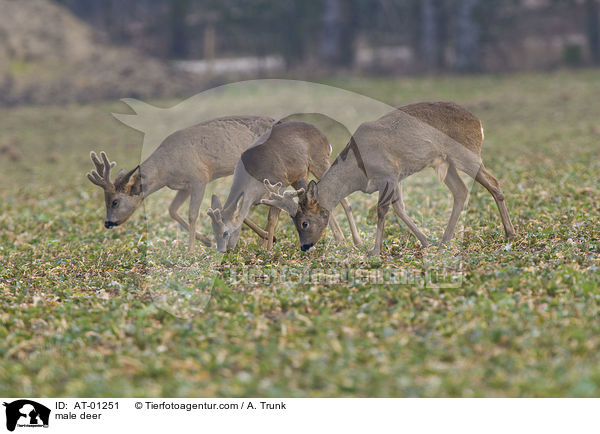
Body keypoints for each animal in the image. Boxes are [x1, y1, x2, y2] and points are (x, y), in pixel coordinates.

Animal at [86, 115, 274, 251]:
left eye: (114, 202)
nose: (108, 223)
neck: (166, 169)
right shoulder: (183, 186)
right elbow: (172, 210)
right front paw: (206, 240)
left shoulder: (199, 177)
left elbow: (193, 214)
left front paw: (191, 250)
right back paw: (266, 239)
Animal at [205, 120, 360, 253]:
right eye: (213, 231)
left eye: (226, 233)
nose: (222, 250)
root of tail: (325, 138)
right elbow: (245, 216)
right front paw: (266, 240)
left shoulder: (279, 183)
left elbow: (272, 218)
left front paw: (268, 250)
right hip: (299, 175)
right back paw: (340, 239)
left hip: (319, 161)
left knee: (342, 198)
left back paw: (354, 241)